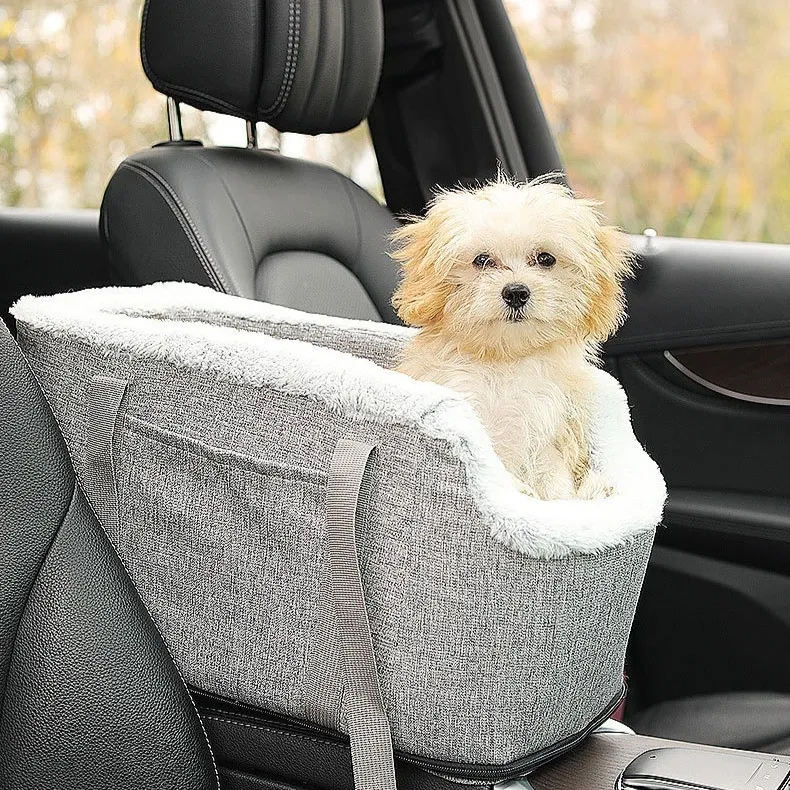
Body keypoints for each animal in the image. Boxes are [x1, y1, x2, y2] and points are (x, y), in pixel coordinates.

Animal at [391, 178, 634, 500]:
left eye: (545, 259)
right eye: (482, 260)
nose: (516, 292)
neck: (506, 360)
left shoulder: (549, 433)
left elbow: (555, 482)